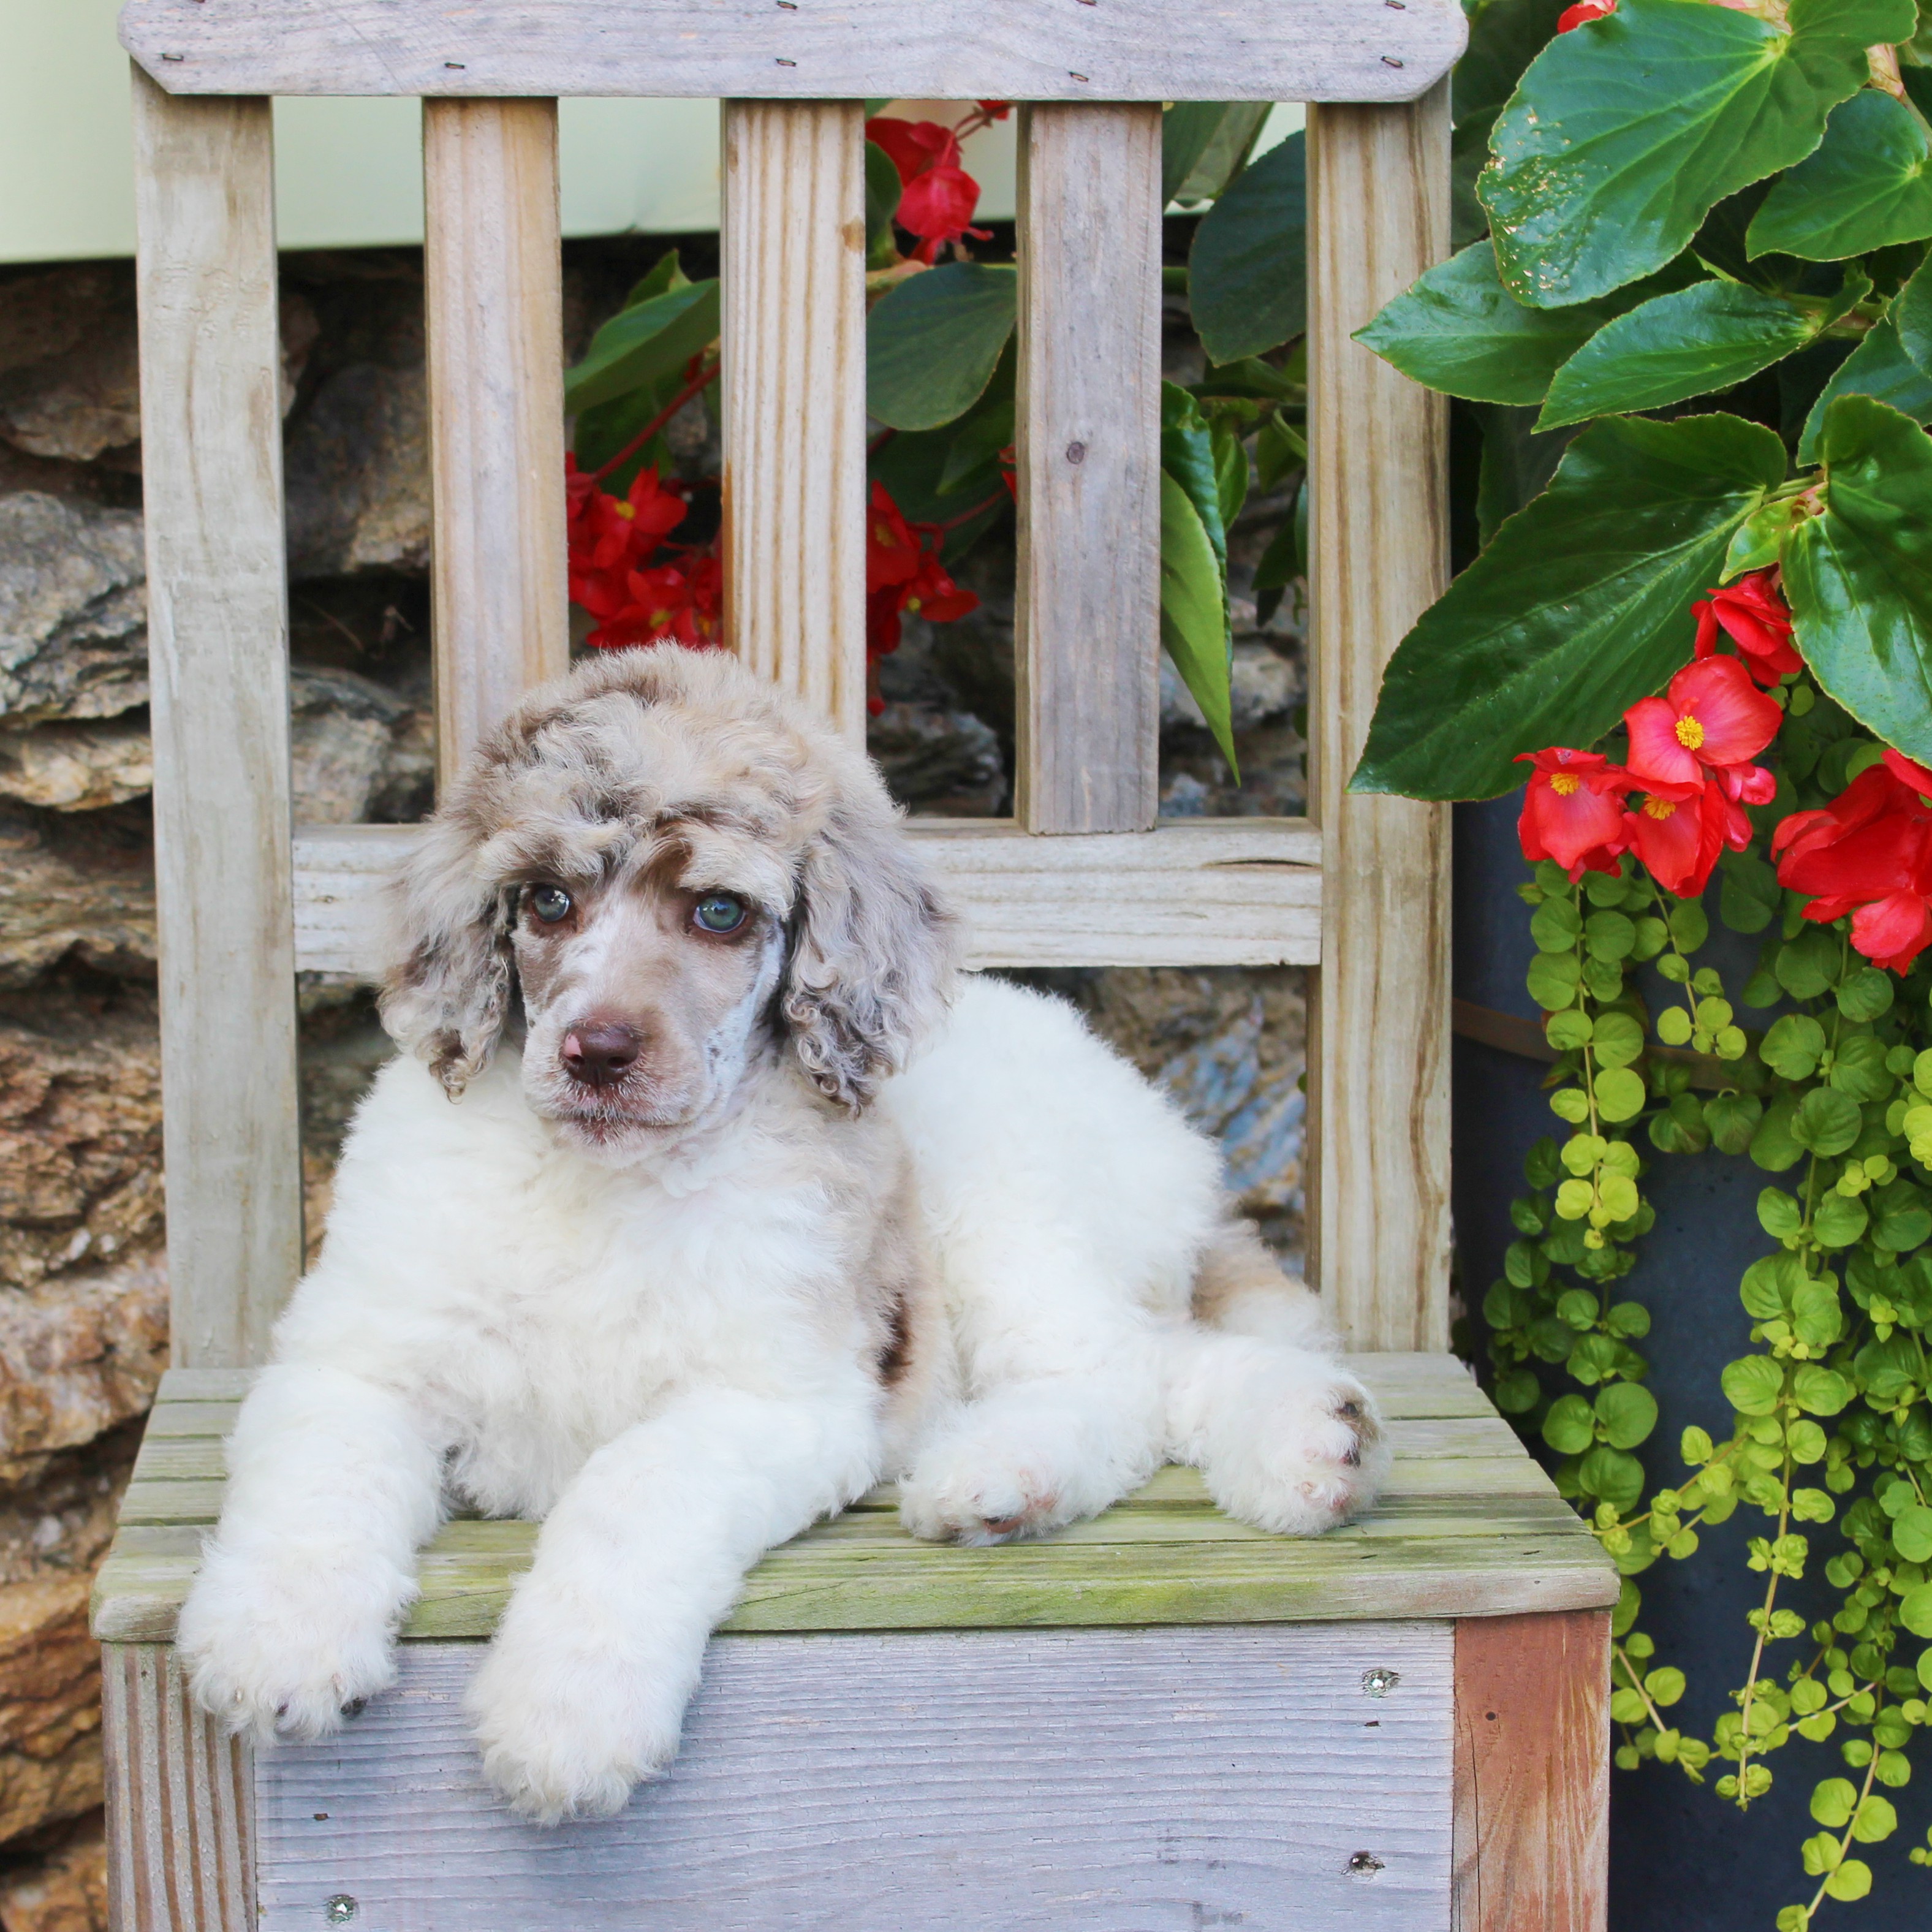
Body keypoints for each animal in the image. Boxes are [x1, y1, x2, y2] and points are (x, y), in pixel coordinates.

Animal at [178, 645, 1391, 1824]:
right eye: (547, 900)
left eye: (719, 912)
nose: (596, 1052)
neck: (610, 1183)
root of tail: (1162, 1126)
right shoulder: (357, 1355)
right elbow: (319, 1476)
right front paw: (274, 1647)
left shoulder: (772, 1399)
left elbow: (631, 1490)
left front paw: (565, 1718)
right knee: (1174, 1363)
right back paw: (1304, 1447)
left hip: (1006, 1197)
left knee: (1125, 1373)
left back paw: (1020, 1471)